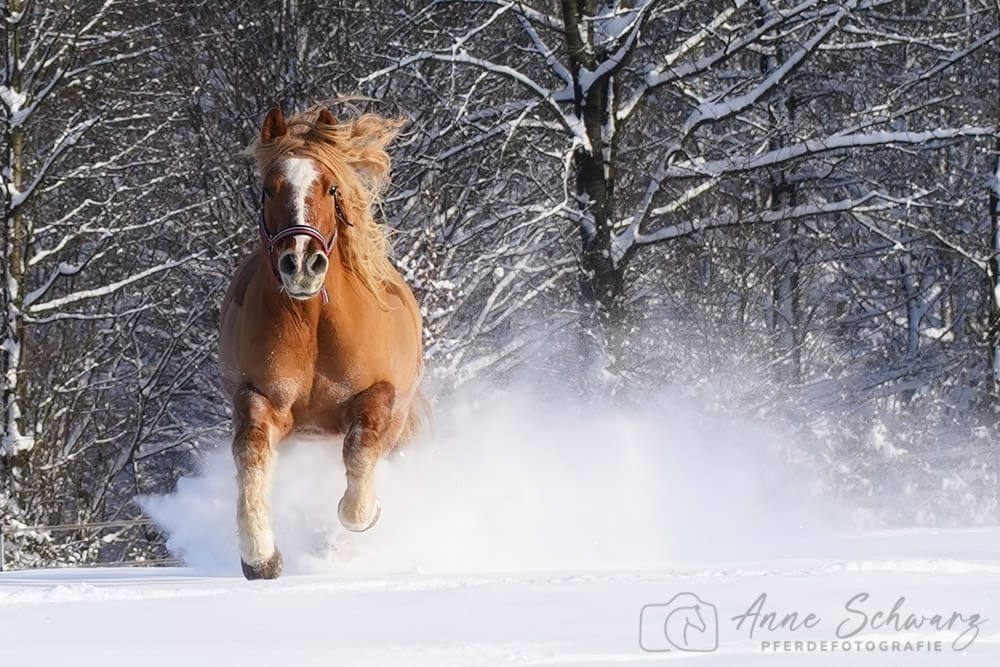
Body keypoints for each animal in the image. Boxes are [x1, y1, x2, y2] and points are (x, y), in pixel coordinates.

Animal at [219, 104, 422, 580]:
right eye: (268, 188)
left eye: (330, 187)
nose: (301, 264)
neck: (311, 323)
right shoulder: (259, 398)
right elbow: (251, 456)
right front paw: (261, 556)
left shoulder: (376, 397)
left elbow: (359, 457)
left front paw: (361, 518)